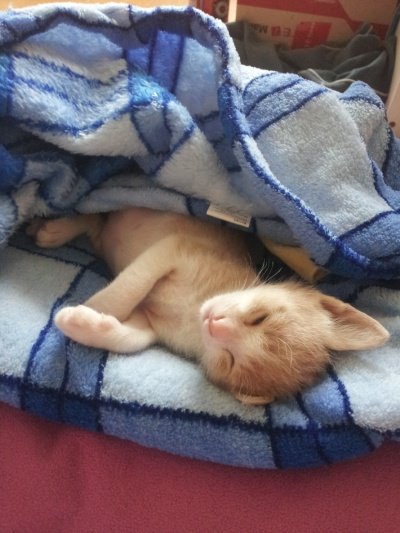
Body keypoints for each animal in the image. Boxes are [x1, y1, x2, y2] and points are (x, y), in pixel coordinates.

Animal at [27, 207, 389, 405]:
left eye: (229, 361)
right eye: (260, 318)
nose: (215, 322)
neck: (193, 313)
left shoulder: (150, 321)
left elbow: (132, 337)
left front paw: (83, 322)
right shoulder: (173, 249)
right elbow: (127, 289)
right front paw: (96, 304)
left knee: (98, 226)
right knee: (99, 216)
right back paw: (59, 227)